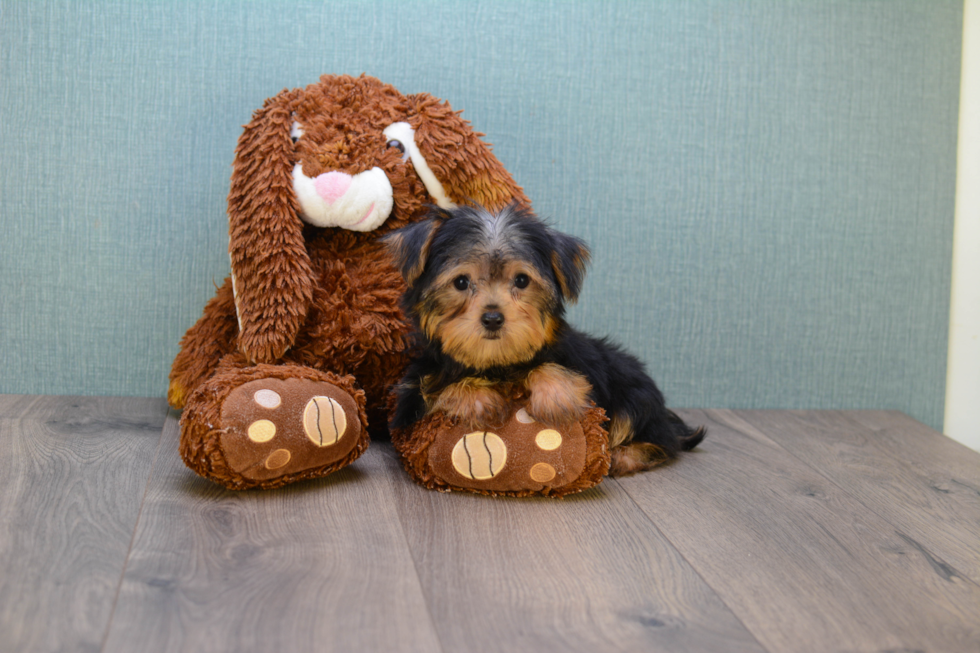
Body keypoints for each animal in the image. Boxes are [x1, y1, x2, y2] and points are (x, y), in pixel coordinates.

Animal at [382, 204, 704, 474]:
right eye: (461, 282)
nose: (493, 317)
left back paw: (625, 456)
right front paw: (476, 398)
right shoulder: (410, 401)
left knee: (658, 436)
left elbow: (549, 367)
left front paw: (556, 396)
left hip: (633, 387)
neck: (495, 361)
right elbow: (435, 392)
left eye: (522, 280)